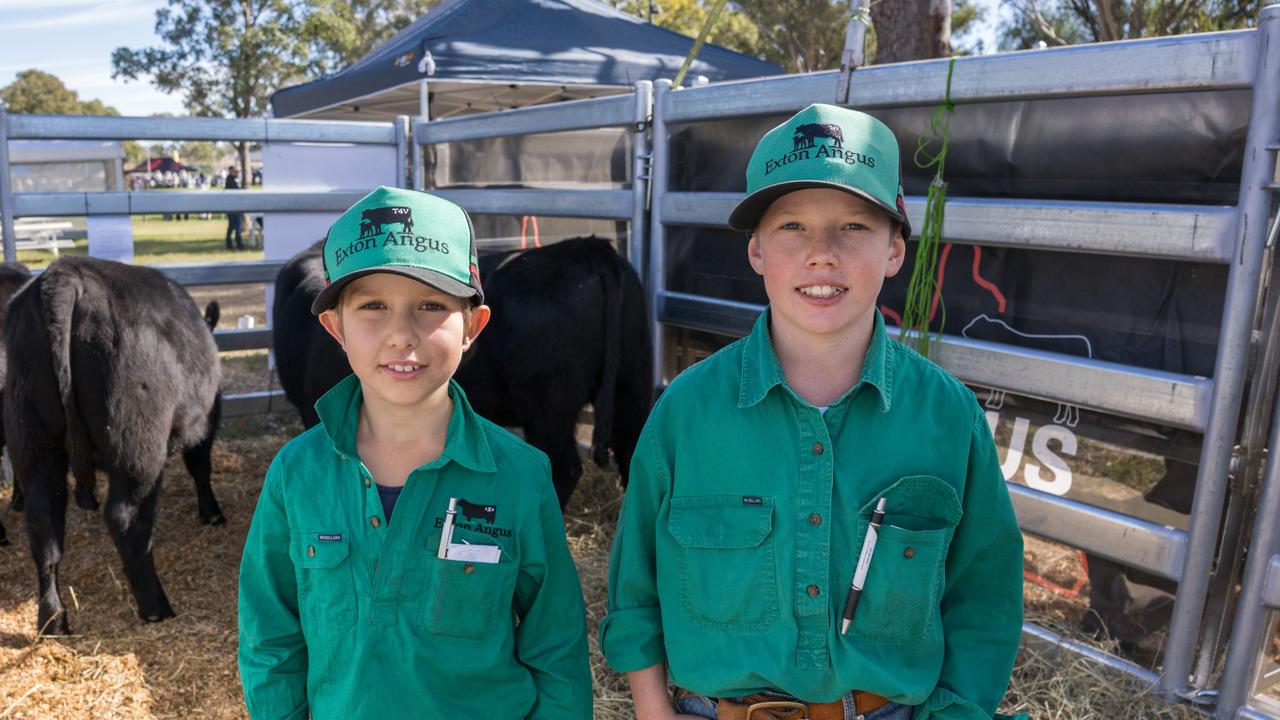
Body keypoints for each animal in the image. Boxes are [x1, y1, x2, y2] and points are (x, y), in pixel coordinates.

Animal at [4, 257, 222, 632]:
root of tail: (63, 275)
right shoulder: (205, 421)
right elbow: (200, 467)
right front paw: (212, 513)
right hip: (137, 449)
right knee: (125, 518)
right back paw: (155, 606)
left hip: (34, 442)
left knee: (44, 524)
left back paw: (53, 619)